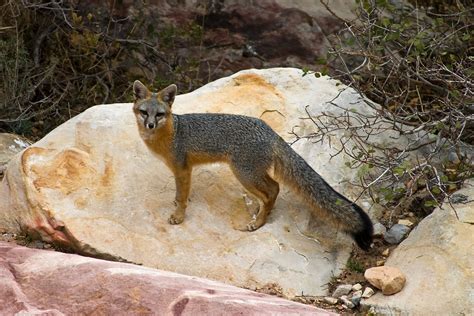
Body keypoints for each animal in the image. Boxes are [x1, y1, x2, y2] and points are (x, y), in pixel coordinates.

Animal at [131, 80, 372, 251]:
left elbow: (182, 196)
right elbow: (178, 193)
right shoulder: (180, 171)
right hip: (250, 174)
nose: (150, 124)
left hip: (243, 173)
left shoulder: (182, 168)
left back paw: (258, 223)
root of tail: (270, 131)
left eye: (159, 114)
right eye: (144, 112)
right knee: (269, 191)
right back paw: (259, 210)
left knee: (274, 188)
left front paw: (178, 216)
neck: (170, 134)